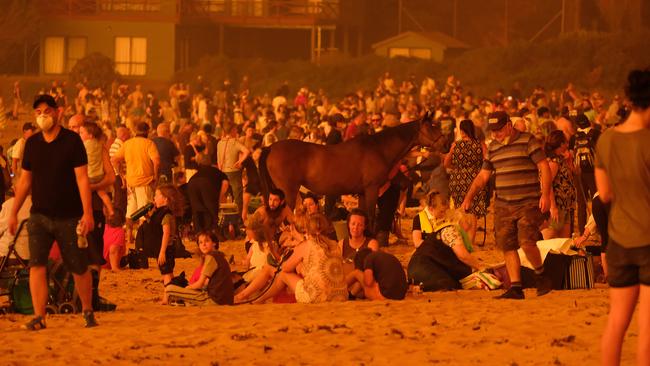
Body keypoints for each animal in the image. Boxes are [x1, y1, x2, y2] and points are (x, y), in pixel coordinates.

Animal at [256, 113, 442, 230]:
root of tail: (270, 148)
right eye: (431, 127)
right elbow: (371, 216)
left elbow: (362, 215)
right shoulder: (371, 189)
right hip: (288, 191)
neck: (378, 148)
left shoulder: (362, 192)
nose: (445, 144)